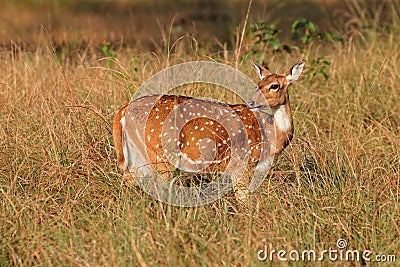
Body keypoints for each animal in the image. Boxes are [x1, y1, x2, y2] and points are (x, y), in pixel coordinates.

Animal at [111, 60, 304, 199]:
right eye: (258, 84)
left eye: (275, 85)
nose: (251, 102)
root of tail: (122, 112)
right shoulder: (241, 162)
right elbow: (243, 199)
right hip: (157, 152)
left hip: (136, 155)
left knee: (128, 180)